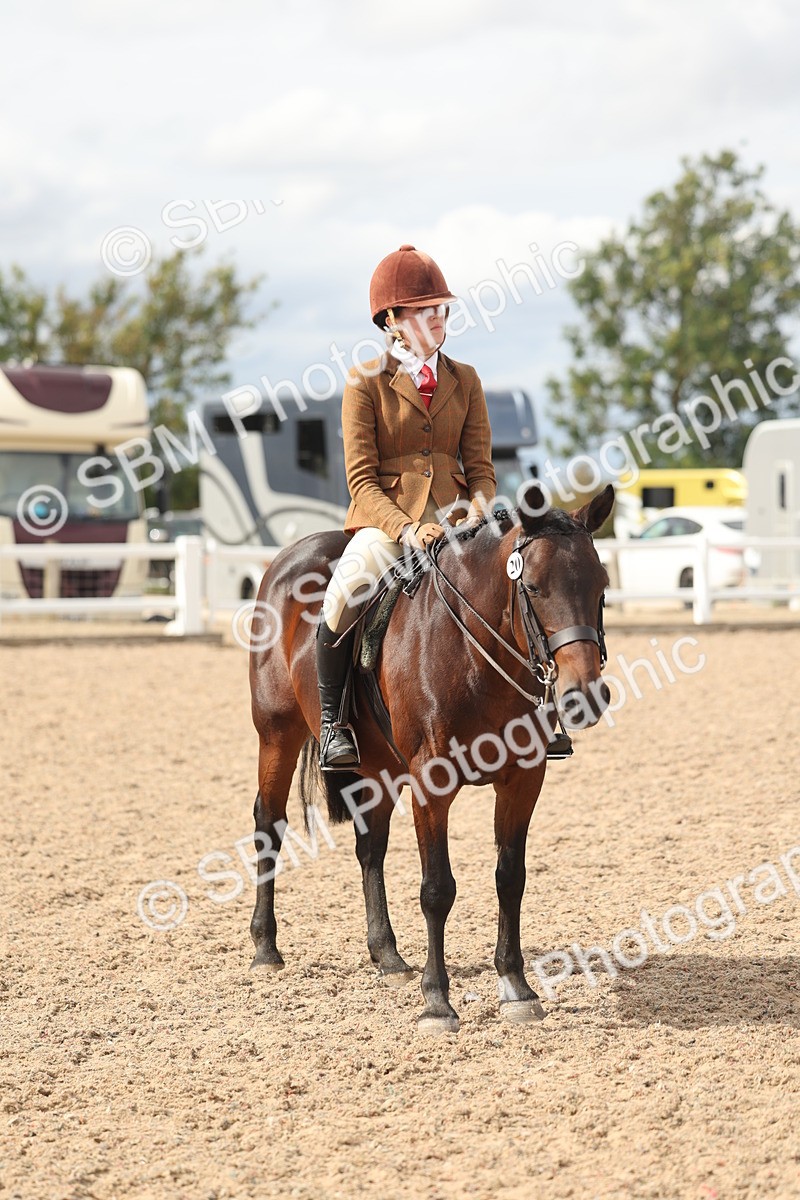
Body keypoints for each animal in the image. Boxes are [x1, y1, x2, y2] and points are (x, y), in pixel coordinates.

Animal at [248, 482, 614, 1033]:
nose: (585, 696)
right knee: (269, 824)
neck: (475, 650)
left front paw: (516, 987)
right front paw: (437, 1002)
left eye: (601, 586)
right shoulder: (431, 783)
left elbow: (511, 878)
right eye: (533, 588)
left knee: (370, 846)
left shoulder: (523, 780)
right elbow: (437, 889)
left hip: (377, 766)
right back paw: (266, 948)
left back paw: (388, 957)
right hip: (277, 735)